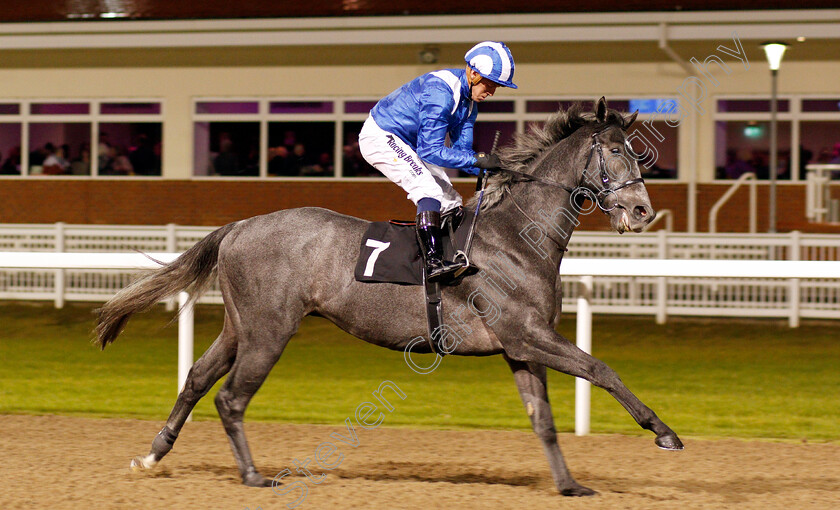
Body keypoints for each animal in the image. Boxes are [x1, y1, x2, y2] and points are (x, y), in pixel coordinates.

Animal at [97, 97, 684, 496]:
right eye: (615, 150)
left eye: (638, 152)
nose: (640, 211)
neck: (518, 236)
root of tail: (240, 226)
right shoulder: (530, 335)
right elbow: (602, 369)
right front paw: (664, 433)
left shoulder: (521, 347)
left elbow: (544, 419)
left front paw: (569, 485)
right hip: (269, 329)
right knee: (231, 397)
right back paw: (253, 475)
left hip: (240, 325)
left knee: (198, 379)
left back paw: (153, 455)